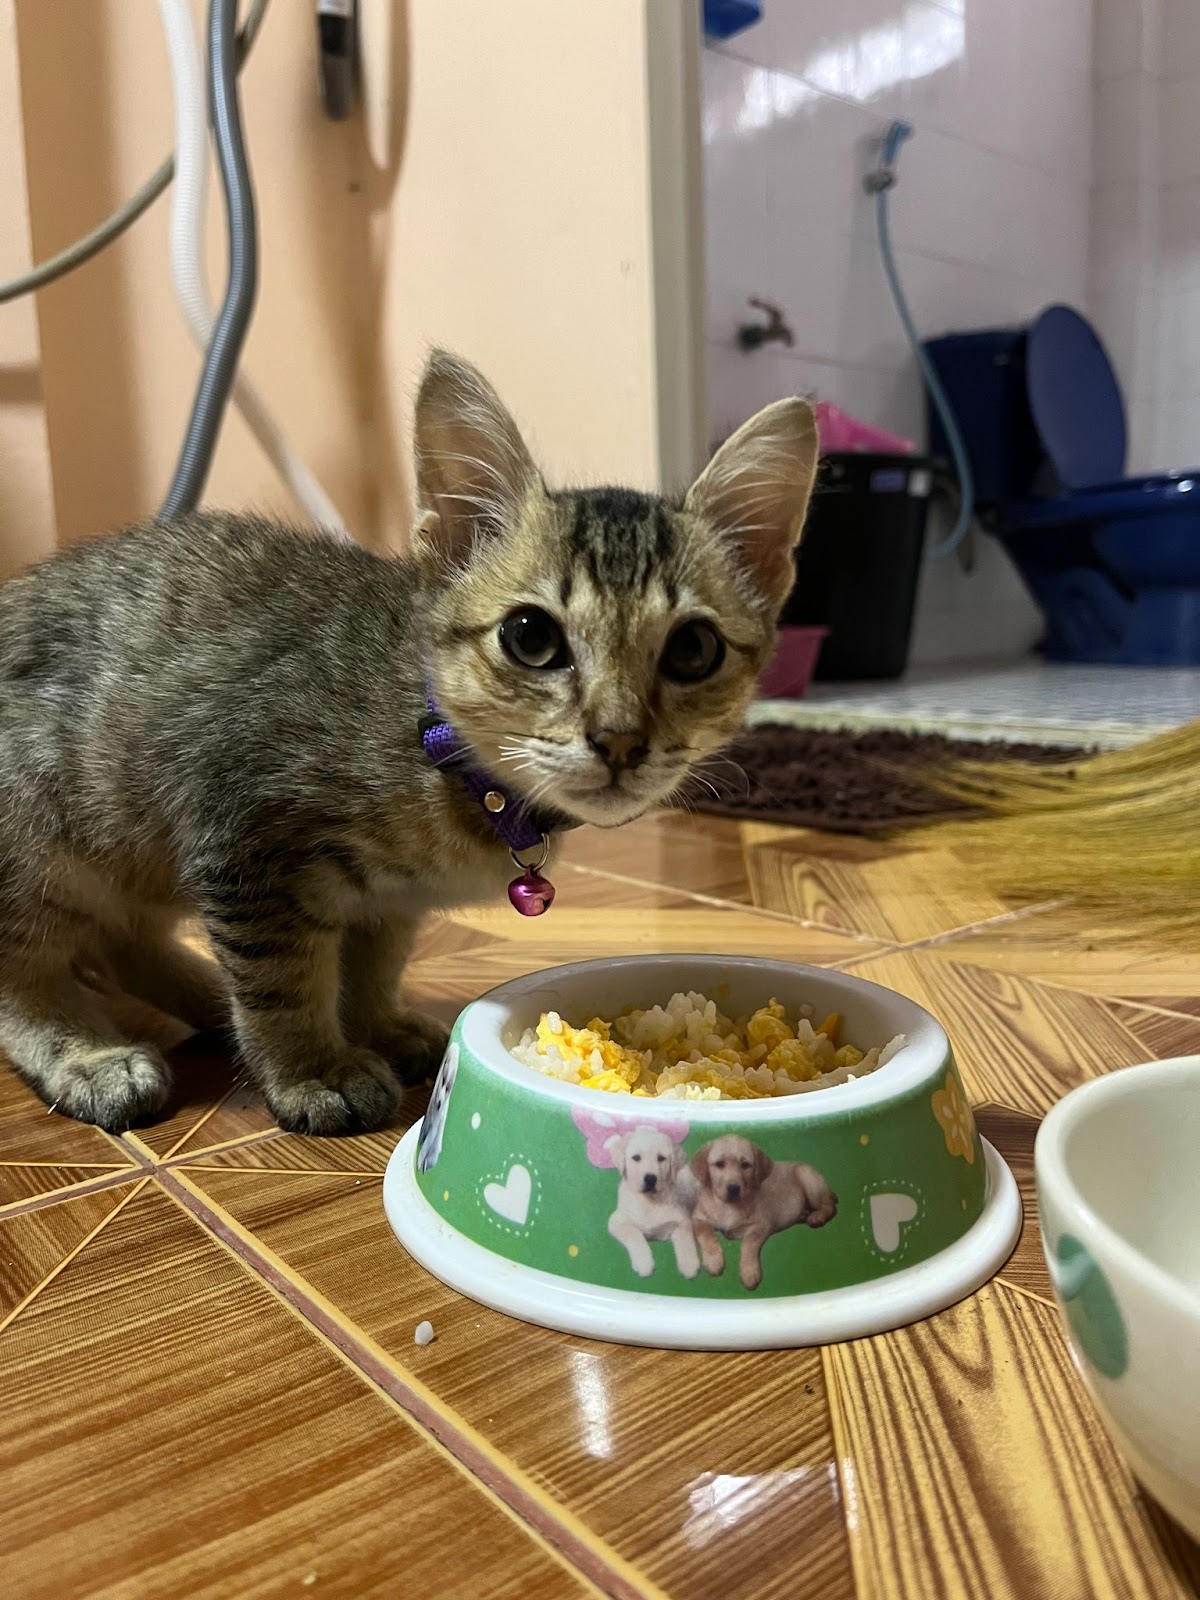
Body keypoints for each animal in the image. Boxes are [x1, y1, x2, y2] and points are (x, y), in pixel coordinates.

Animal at [0, 351, 819, 1136]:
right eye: (531, 637)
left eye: (693, 650)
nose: (618, 740)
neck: (442, 758)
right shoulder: (242, 841)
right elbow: (280, 977)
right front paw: (313, 1067)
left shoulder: (384, 900)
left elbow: (371, 963)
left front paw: (373, 1024)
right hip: (43, 833)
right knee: (27, 968)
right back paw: (93, 1053)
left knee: (118, 943)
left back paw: (204, 998)